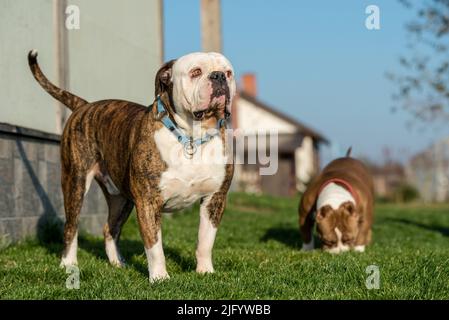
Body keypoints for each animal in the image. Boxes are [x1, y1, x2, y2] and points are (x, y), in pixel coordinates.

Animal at [28, 48, 236, 282]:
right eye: (196, 72)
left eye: (229, 72)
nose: (218, 76)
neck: (193, 135)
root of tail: (84, 105)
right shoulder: (148, 202)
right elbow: (154, 246)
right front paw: (160, 278)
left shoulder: (214, 199)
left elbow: (205, 241)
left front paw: (205, 271)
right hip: (76, 182)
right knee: (71, 226)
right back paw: (68, 264)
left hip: (121, 198)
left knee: (110, 228)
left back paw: (117, 263)